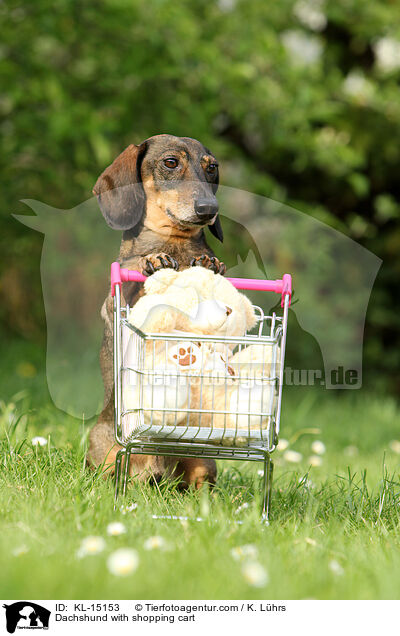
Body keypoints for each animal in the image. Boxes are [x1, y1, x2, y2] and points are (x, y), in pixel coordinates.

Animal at [87, 135, 225, 486]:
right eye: (171, 162)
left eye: (212, 167)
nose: (209, 209)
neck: (173, 241)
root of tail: (156, 473)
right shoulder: (117, 303)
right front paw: (151, 260)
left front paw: (208, 263)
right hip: (104, 450)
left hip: (203, 462)